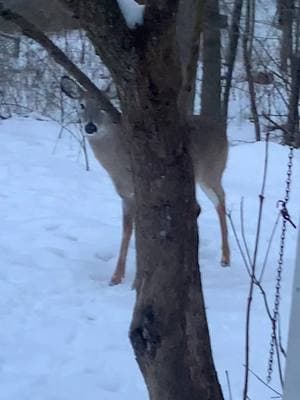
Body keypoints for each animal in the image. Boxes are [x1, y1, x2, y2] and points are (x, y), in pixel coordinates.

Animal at [60, 75, 230, 286]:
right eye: (81, 105)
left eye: (102, 106)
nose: (90, 126)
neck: (120, 163)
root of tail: (223, 131)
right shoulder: (126, 195)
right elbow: (127, 230)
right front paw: (117, 276)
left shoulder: (139, 191)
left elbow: (137, 230)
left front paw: (134, 279)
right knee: (203, 205)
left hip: (212, 171)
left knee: (220, 199)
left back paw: (225, 258)